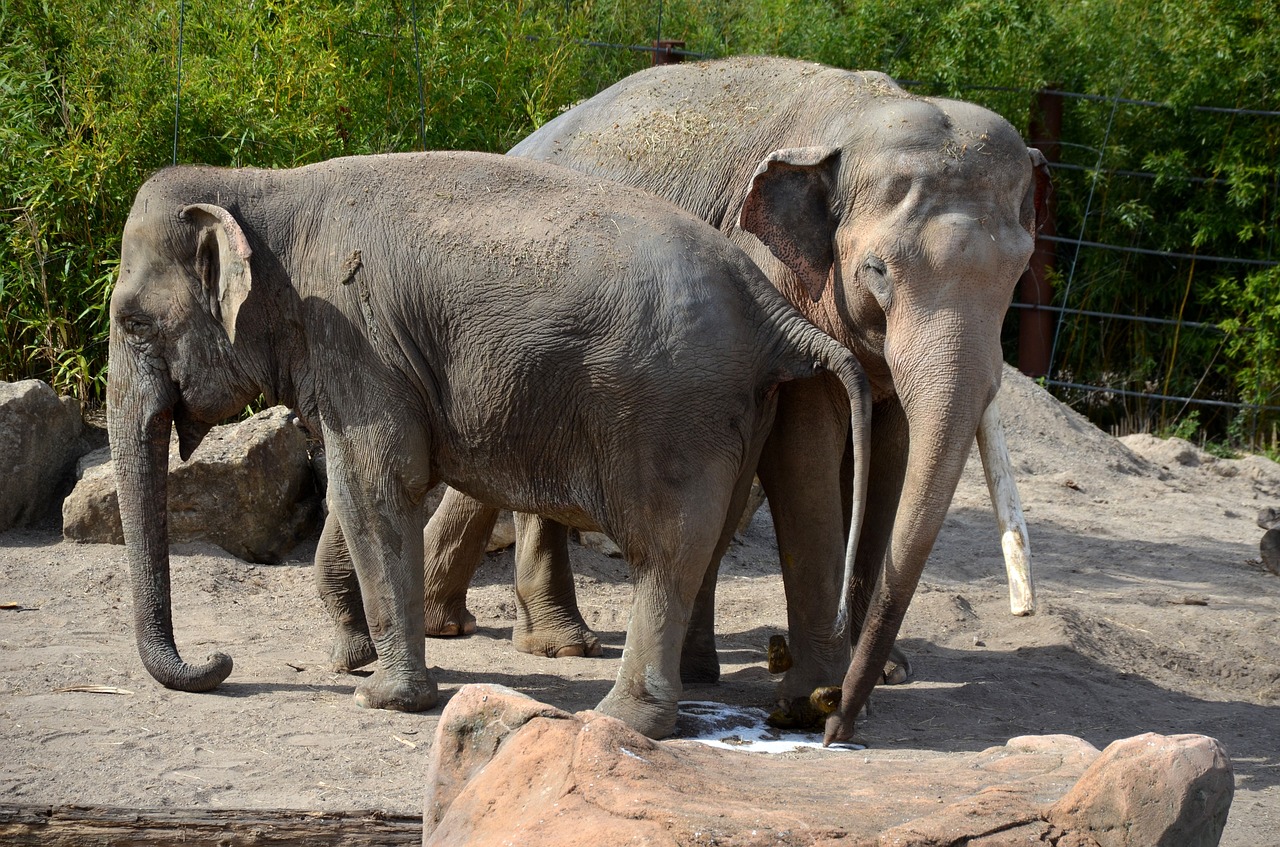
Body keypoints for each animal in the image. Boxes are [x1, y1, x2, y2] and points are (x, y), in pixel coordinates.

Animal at [110, 149, 875, 742]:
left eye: (132, 323)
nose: (219, 662)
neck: (258, 187)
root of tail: (767, 305)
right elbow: (372, 487)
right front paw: (350, 658)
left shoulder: (357, 341)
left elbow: (374, 486)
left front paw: (379, 696)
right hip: (740, 407)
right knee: (705, 542)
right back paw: (688, 686)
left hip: (673, 410)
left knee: (666, 550)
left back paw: (623, 718)